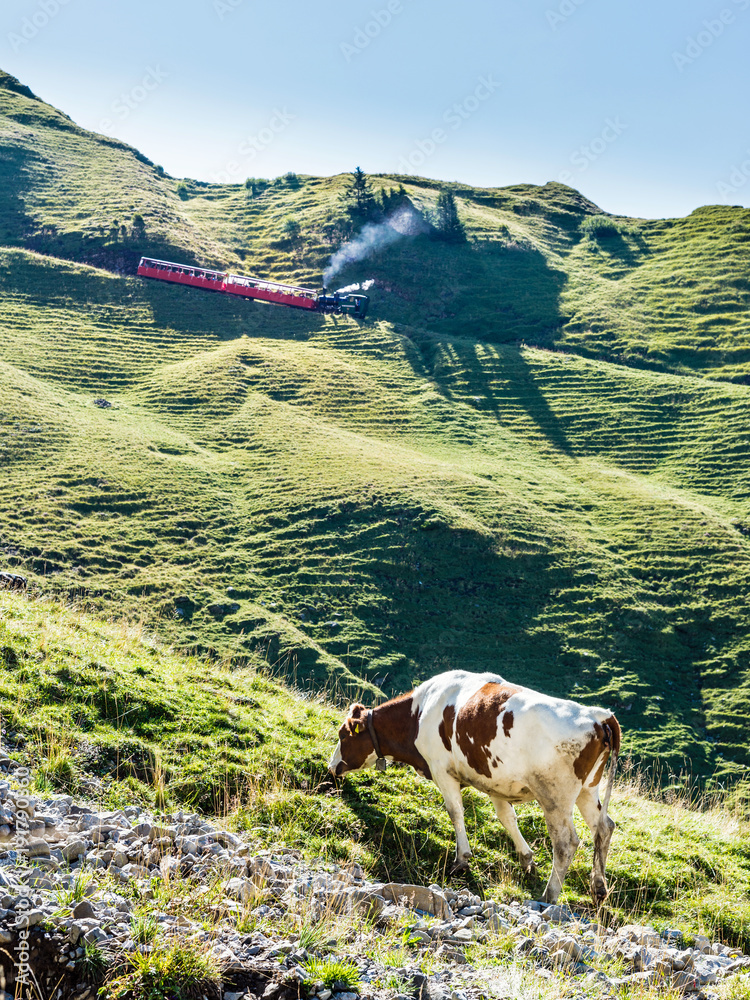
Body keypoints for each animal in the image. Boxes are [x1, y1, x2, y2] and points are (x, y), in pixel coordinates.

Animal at [328, 672, 624, 908]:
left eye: (343, 735)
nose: (331, 767)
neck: (419, 714)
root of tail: (598, 715)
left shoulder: (442, 770)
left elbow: (455, 812)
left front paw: (462, 859)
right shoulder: (495, 781)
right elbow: (507, 818)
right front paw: (526, 859)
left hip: (555, 798)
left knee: (566, 843)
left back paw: (549, 895)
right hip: (588, 790)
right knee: (604, 828)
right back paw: (599, 888)